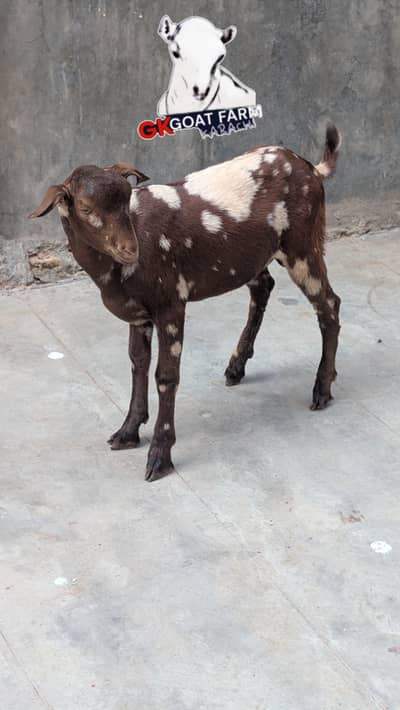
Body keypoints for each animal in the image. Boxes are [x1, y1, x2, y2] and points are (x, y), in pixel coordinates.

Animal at [29, 125, 341, 482]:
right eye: (85, 208)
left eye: (126, 198)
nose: (131, 250)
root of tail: (312, 168)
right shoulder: (139, 315)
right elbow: (137, 363)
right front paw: (128, 431)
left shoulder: (170, 302)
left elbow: (165, 376)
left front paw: (159, 455)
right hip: (251, 257)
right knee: (264, 287)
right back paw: (236, 366)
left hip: (302, 246)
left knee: (329, 305)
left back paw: (322, 389)